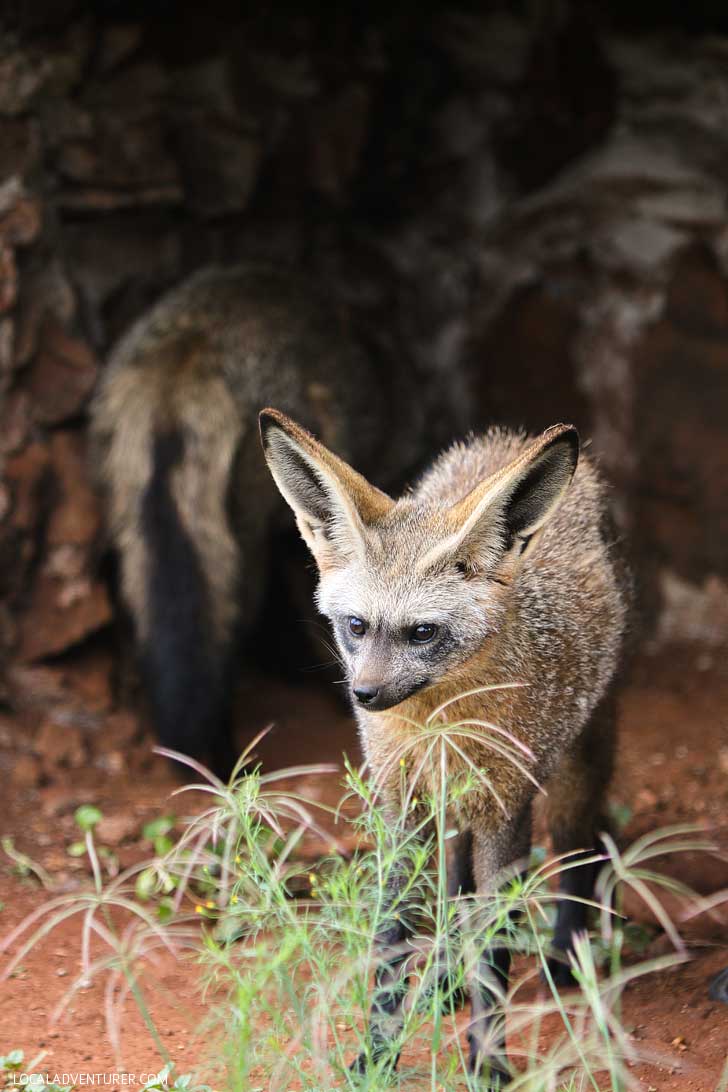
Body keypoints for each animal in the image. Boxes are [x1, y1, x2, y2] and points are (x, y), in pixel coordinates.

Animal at [260, 408, 628, 1083]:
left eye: (423, 633)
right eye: (356, 626)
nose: (365, 694)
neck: (438, 730)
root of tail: (508, 437)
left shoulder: (506, 810)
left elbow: (496, 947)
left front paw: (488, 1063)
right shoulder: (402, 808)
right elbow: (391, 937)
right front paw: (375, 1054)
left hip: (573, 771)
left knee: (583, 848)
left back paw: (564, 959)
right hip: (453, 813)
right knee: (456, 888)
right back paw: (445, 982)